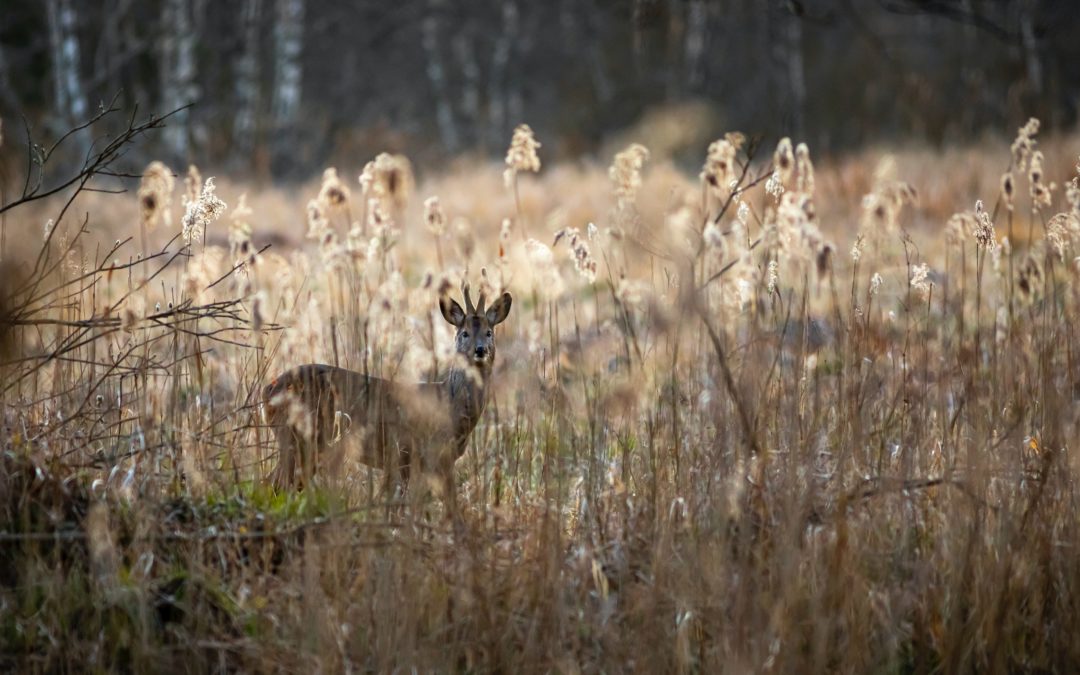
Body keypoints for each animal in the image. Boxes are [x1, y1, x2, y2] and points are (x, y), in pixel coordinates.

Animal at [263, 282, 511, 509]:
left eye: (489, 332)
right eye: (464, 333)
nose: (480, 349)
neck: (450, 405)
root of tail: (267, 391)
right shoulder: (412, 453)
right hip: (298, 439)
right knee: (274, 485)